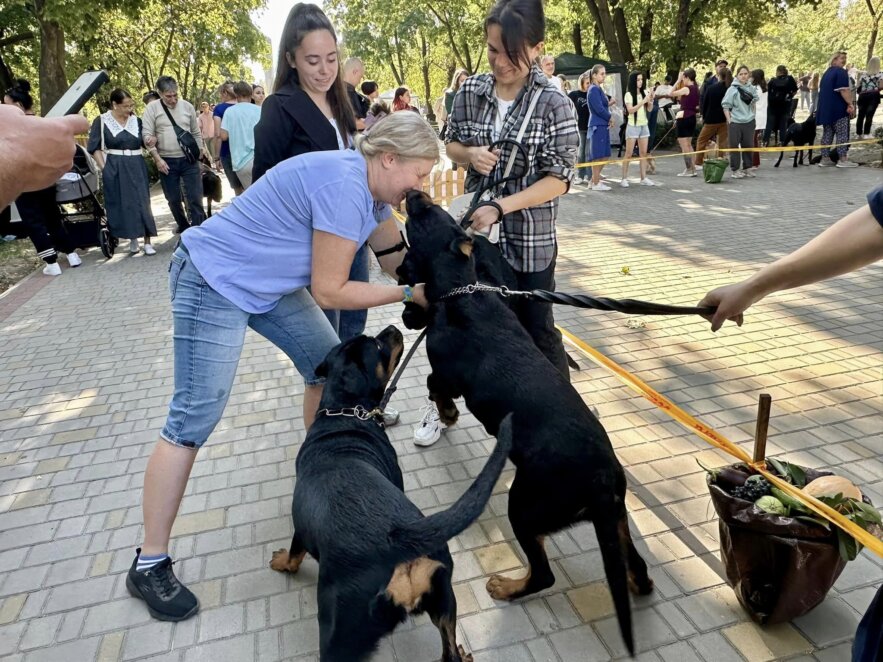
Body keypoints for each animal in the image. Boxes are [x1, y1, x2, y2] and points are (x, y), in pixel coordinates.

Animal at [272, 328, 512, 662]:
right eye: (377, 344)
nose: (393, 329)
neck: (346, 412)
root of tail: (397, 538)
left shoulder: (302, 528)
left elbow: (295, 553)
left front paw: (283, 562)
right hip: (444, 598)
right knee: (449, 650)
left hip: (340, 633)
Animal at [398, 192, 652, 660]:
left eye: (426, 218)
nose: (416, 195)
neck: (462, 291)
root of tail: (603, 479)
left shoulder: (445, 370)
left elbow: (434, 385)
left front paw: (446, 414)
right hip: (615, 517)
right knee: (638, 567)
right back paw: (633, 581)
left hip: (525, 506)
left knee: (543, 574)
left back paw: (506, 586)